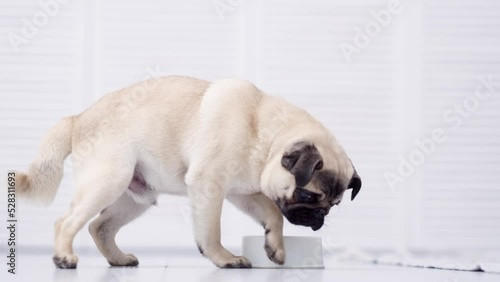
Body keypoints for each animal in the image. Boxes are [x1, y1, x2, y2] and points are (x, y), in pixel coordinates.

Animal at [13, 75, 362, 268]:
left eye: (334, 205)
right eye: (308, 195)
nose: (317, 218)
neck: (264, 132)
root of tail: (77, 118)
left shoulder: (243, 194)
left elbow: (273, 215)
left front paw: (274, 247)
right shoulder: (209, 187)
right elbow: (211, 231)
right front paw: (224, 258)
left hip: (132, 199)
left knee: (99, 227)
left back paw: (118, 259)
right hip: (107, 181)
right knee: (67, 221)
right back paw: (64, 258)